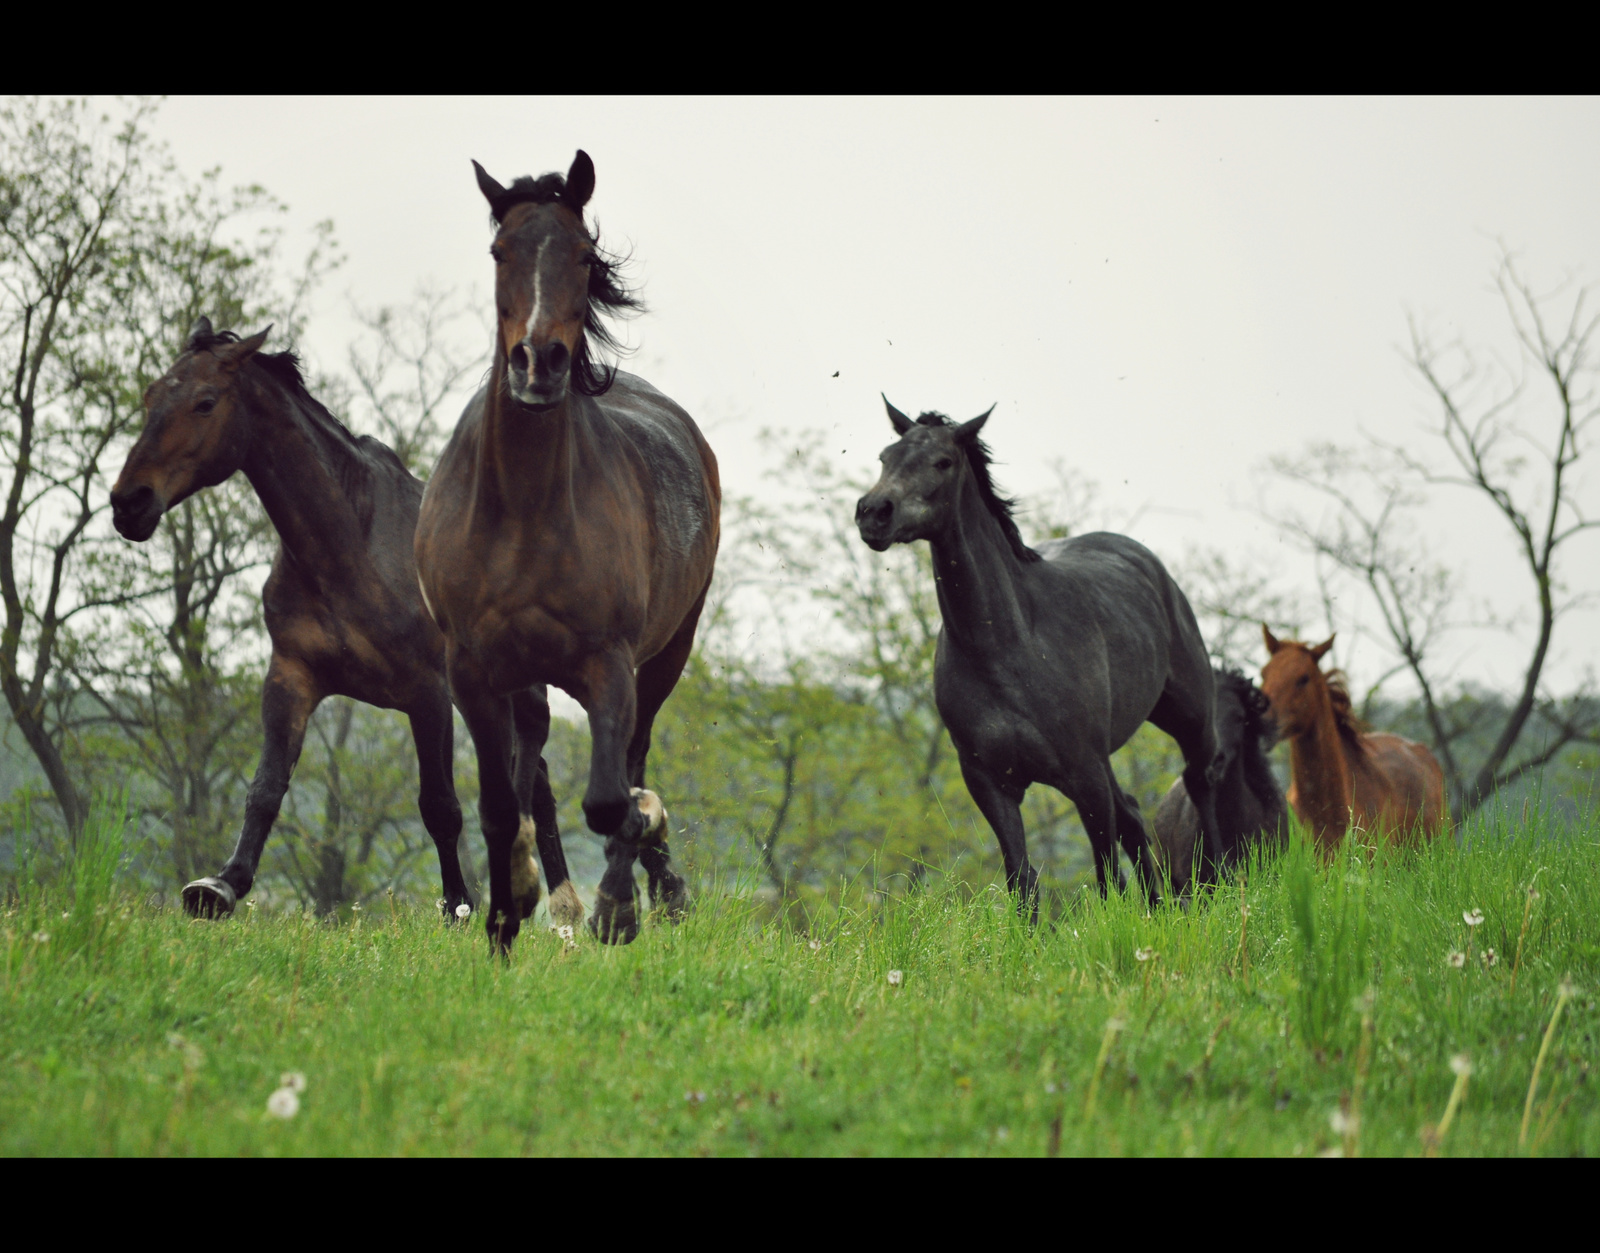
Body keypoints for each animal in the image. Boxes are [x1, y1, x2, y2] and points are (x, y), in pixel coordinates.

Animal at [108, 318, 582, 928]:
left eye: (205, 402)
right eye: (150, 396)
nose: (128, 503)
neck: (350, 544)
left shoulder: (427, 693)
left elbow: (440, 807)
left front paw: (457, 907)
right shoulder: (291, 677)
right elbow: (265, 789)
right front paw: (221, 886)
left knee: (531, 779)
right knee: (535, 776)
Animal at [412, 149, 720, 953]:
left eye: (582, 254)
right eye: (500, 251)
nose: (539, 363)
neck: (523, 509)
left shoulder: (609, 660)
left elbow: (613, 798)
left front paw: (619, 903)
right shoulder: (472, 668)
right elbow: (497, 803)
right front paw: (503, 917)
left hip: (667, 651)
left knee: (632, 757)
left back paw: (652, 884)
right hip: (525, 676)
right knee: (530, 760)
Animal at [857, 401, 1216, 908]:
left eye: (943, 461)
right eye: (886, 457)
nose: (873, 513)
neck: (1008, 648)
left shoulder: (1084, 773)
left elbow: (1107, 875)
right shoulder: (991, 781)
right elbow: (1022, 879)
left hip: (1189, 717)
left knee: (1200, 784)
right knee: (1131, 815)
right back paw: (1160, 905)